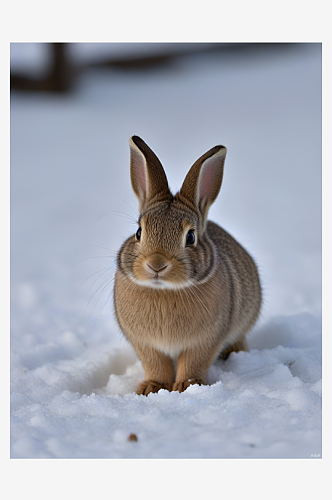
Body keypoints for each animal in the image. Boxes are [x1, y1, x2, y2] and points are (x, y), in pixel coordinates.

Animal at [114, 136, 262, 394]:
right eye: (139, 232)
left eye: (190, 237)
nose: (157, 265)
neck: (163, 291)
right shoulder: (145, 345)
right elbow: (155, 364)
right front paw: (152, 388)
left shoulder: (206, 341)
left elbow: (194, 362)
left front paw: (187, 386)